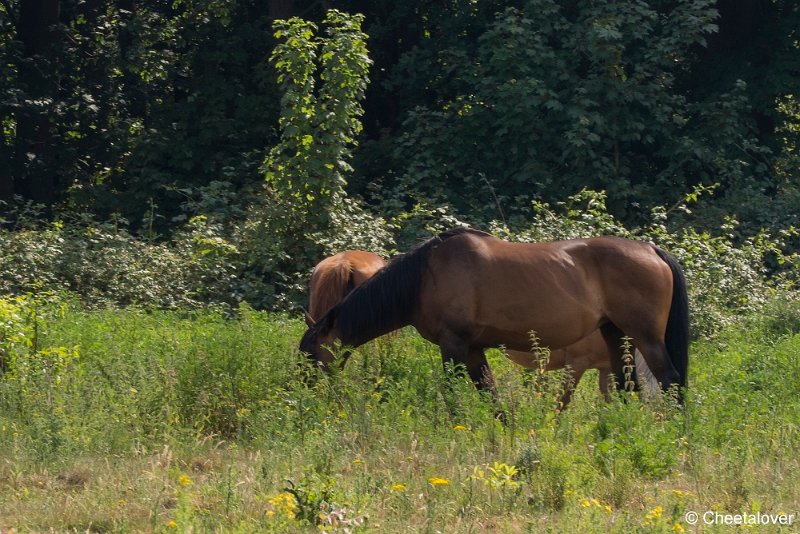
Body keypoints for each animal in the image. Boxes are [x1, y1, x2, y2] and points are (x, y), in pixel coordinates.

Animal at [300, 228, 688, 404]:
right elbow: (490, 394)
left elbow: (455, 393)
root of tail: (652, 249)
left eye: (311, 352)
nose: (306, 393)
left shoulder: (453, 346)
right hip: (616, 336)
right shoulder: (473, 349)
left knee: (671, 381)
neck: (425, 276)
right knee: (626, 387)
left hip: (645, 337)